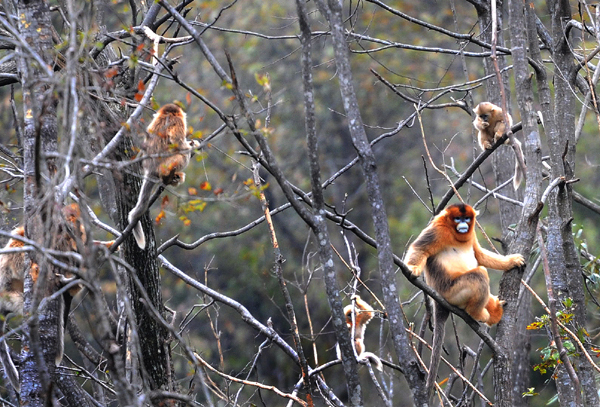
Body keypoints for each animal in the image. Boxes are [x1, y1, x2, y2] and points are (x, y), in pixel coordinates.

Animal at [127, 103, 200, 250]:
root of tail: (151, 169)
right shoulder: (178, 122)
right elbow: (178, 142)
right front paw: (193, 145)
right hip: (168, 164)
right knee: (183, 154)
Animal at [404, 204, 524, 398]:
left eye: (467, 218)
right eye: (457, 219)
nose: (463, 224)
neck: (455, 234)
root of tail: (438, 300)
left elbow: (479, 255)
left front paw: (511, 261)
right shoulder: (437, 229)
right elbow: (420, 249)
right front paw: (413, 268)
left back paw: (493, 312)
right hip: (453, 292)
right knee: (480, 274)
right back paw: (477, 313)